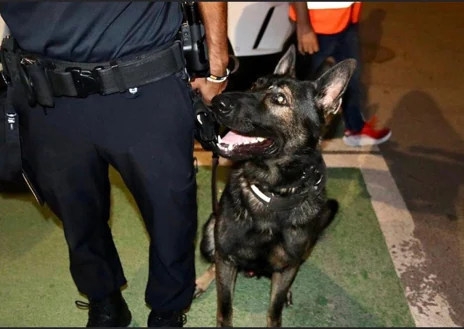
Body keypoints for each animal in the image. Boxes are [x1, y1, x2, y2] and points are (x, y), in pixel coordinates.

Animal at [194, 45, 358, 326]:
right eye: (254, 84)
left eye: (279, 99)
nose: (217, 102)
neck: (271, 193)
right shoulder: (226, 256)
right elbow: (224, 307)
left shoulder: (288, 266)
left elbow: (275, 309)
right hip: (209, 232)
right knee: (213, 259)